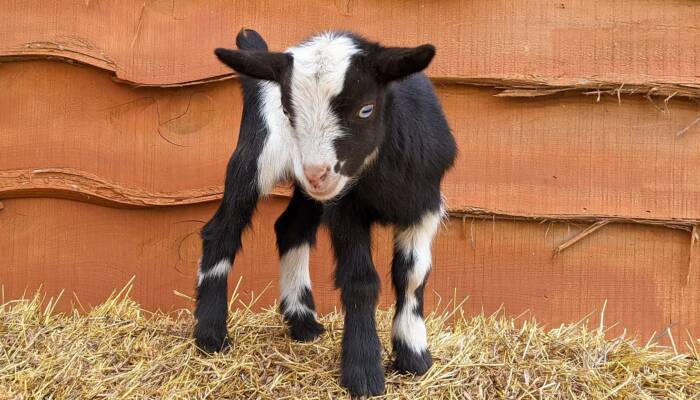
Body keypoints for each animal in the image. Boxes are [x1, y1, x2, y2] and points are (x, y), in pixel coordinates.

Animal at [195, 28, 456, 396]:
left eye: (366, 109)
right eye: (288, 111)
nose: (317, 172)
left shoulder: (424, 205)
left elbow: (413, 275)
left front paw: (414, 356)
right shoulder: (345, 209)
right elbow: (360, 280)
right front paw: (364, 372)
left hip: (307, 191)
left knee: (290, 228)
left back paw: (303, 321)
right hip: (256, 158)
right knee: (222, 230)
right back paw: (210, 334)